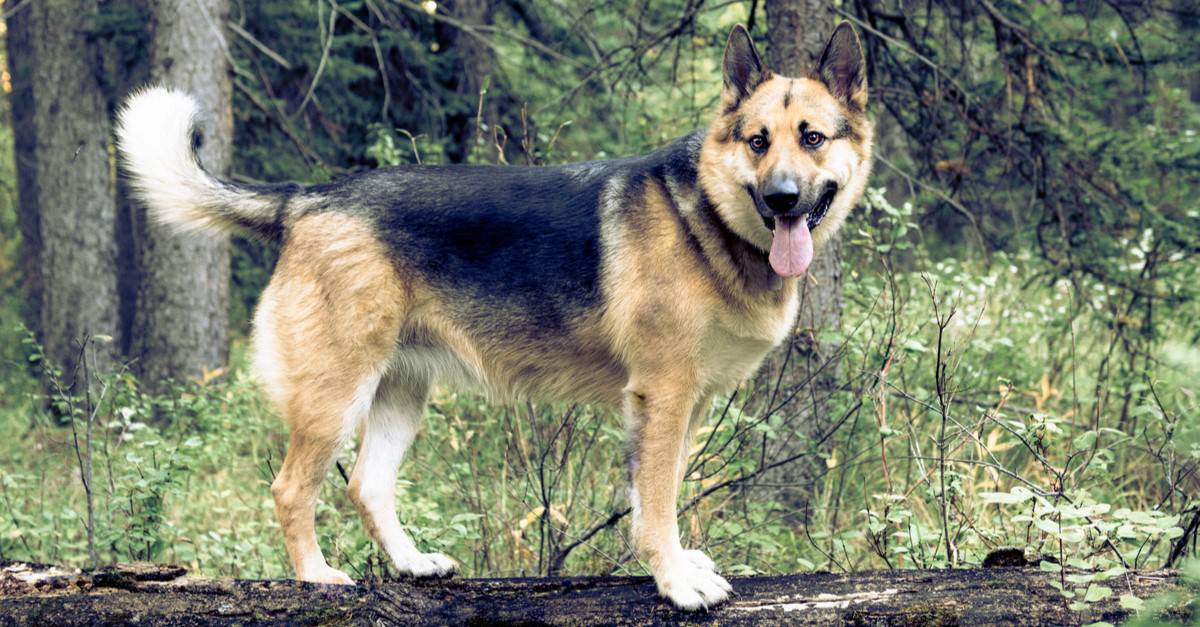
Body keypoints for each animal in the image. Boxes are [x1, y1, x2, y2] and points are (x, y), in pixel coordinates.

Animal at [114, 23, 873, 605]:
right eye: (756, 141)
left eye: (811, 138)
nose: (781, 199)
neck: (708, 219)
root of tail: (310, 197)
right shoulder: (663, 397)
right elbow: (656, 506)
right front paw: (676, 582)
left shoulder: (682, 407)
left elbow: (661, 497)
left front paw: (680, 564)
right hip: (335, 395)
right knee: (290, 489)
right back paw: (316, 577)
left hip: (401, 393)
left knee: (366, 485)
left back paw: (411, 564)